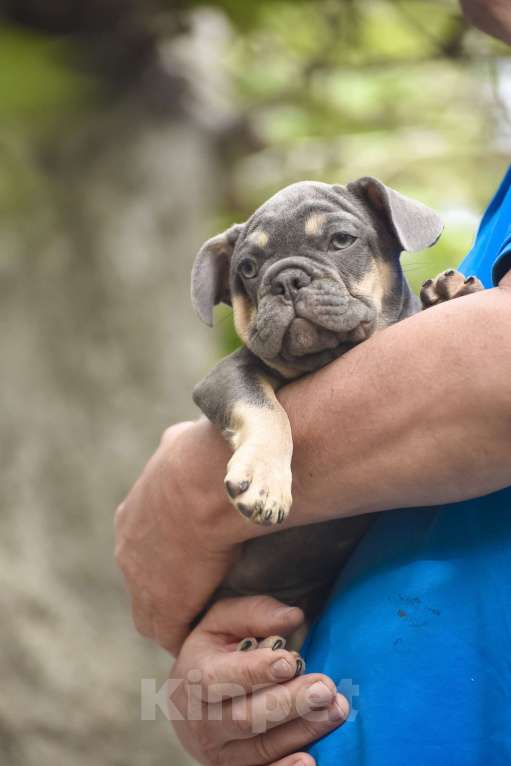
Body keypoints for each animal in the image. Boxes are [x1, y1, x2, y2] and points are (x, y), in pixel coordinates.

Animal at [191, 178, 484, 656]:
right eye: (248, 269)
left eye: (342, 240)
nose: (286, 279)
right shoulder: (227, 376)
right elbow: (264, 409)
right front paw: (266, 481)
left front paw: (452, 295)